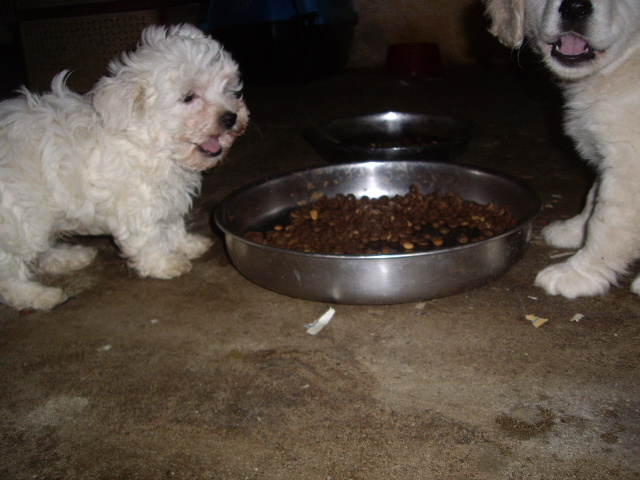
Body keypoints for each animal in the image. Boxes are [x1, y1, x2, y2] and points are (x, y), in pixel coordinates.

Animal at [0, 25, 248, 312]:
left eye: (227, 88)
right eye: (188, 97)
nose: (231, 117)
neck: (144, 140)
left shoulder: (164, 196)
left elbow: (171, 221)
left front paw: (186, 244)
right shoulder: (137, 204)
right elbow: (150, 236)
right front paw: (165, 263)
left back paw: (68, 257)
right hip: (21, 219)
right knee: (10, 274)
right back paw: (39, 295)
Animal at [484, 0, 640, 298]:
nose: (575, 8)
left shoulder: (628, 168)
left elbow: (606, 225)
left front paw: (577, 274)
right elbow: (593, 199)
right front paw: (574, 230)